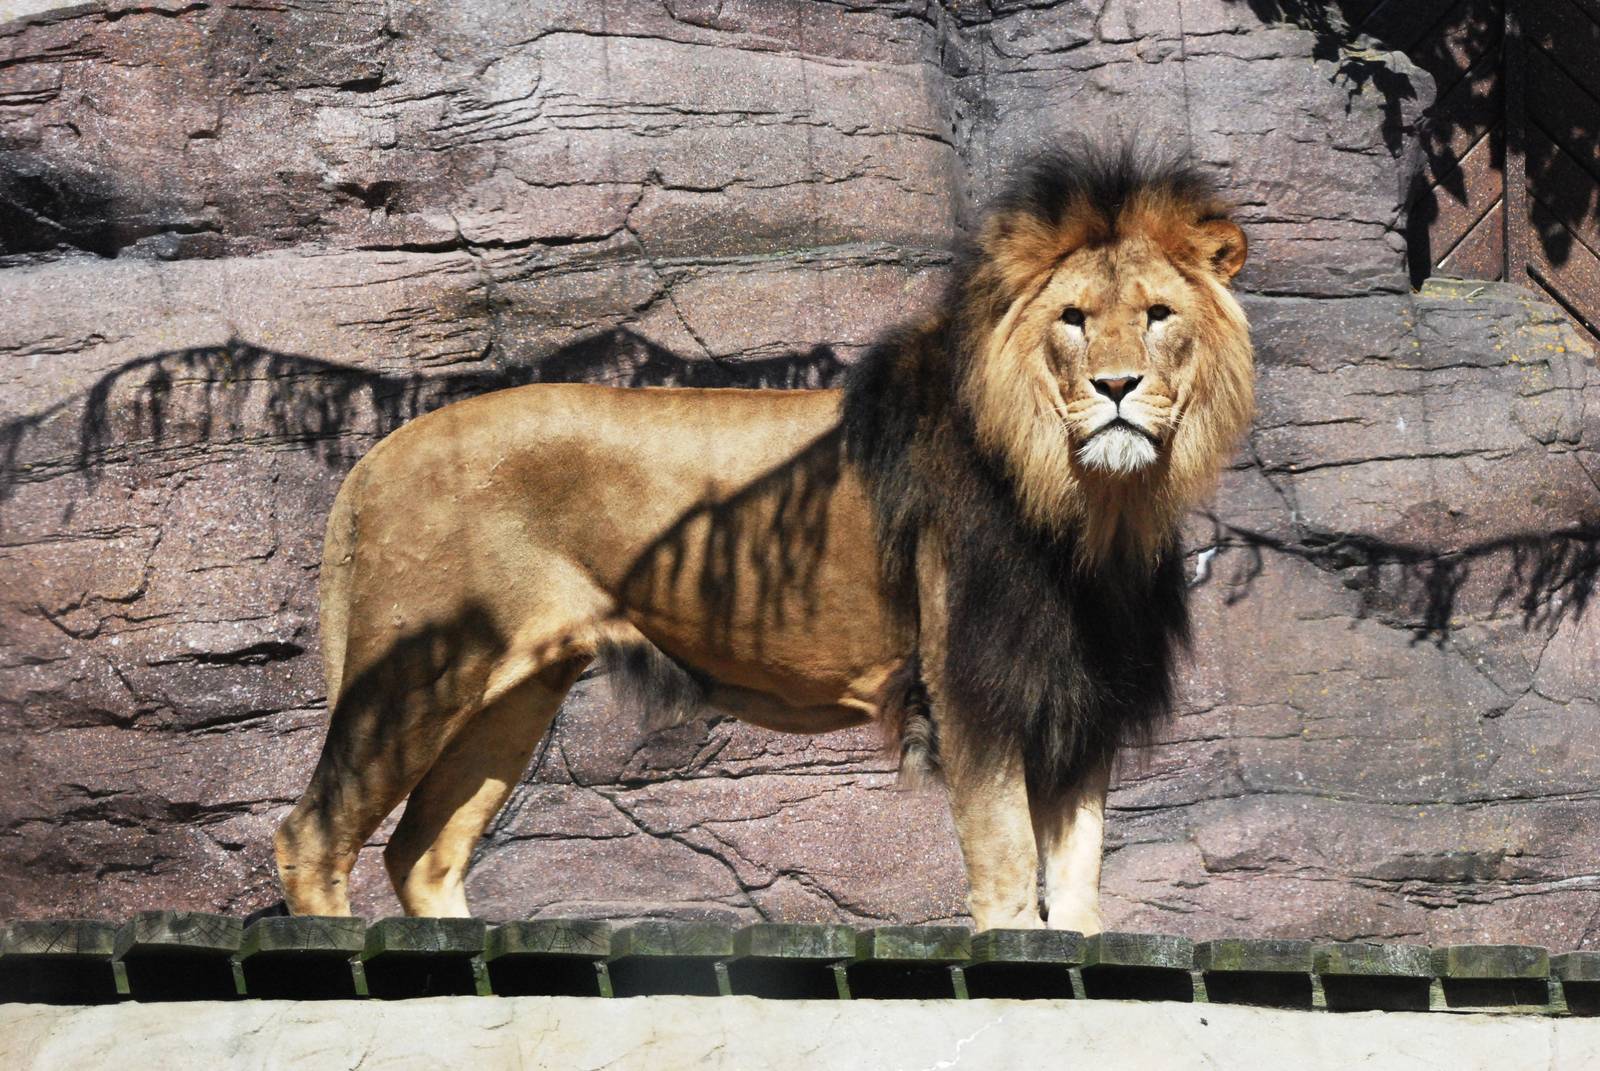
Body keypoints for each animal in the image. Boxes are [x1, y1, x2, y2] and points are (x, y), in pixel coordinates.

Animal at [273, 146, 1253, 933]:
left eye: (1158, 314)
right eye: (1074, 319)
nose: (1117, 386)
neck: (1092, 506)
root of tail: (377, 454)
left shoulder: (1081, 697)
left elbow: (1079, 879)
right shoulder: (971, 687)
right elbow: (1010, 868)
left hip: (512, 696)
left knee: (422, 851)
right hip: (415, 670)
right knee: (311, 834)